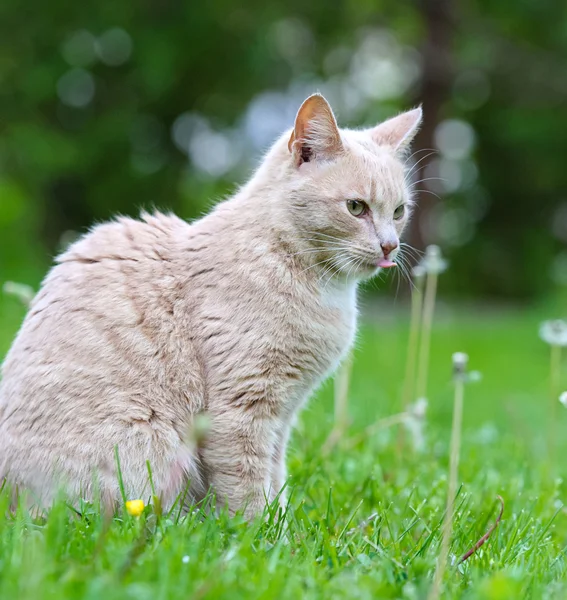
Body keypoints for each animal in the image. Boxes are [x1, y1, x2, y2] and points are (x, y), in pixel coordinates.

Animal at [0, 94, 422, 516]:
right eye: (356, 207)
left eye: (399, 212)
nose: (390, 246)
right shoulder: (244, 405)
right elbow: (247, 484)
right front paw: (259, 527)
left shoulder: (283, 414)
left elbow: (275, 472)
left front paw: (282, 518)